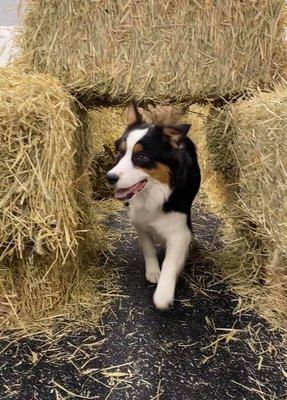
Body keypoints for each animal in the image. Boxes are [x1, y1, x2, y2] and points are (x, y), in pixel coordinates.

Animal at [107, 102, 201, 310]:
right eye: (120, 152)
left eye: (141, 156)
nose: (109, 178)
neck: (154, 194)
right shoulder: (140, 221)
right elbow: (148, 248)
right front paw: (153, 271)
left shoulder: (181, 231)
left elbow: (170, 262)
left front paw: (163, 293)